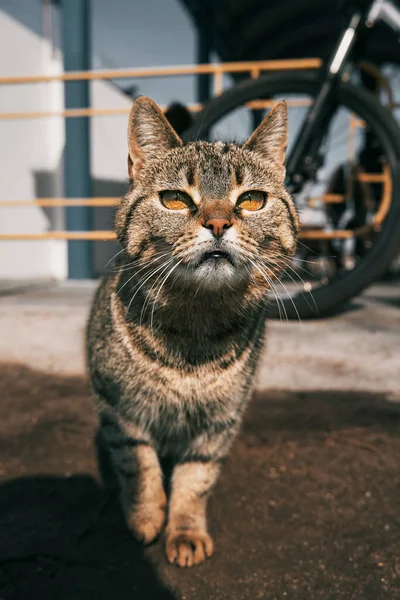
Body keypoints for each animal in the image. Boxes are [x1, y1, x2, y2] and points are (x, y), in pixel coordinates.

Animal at [86, 95, 300, 568]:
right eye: (175, 200)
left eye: (252, 200)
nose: (218, 224)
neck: (194, 329)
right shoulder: (121, 411)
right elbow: (139, 467)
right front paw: (145, 516)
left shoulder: (218, 424)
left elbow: (195, 481)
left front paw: (184, 531)